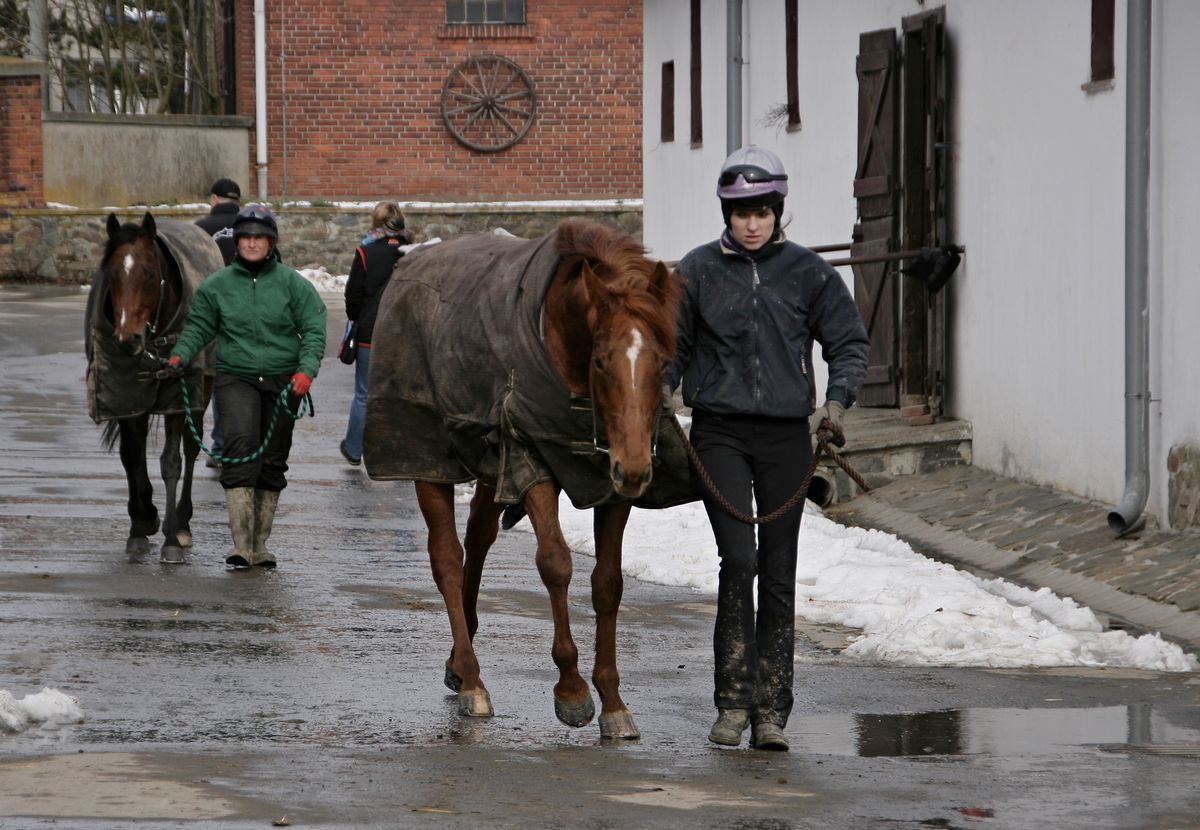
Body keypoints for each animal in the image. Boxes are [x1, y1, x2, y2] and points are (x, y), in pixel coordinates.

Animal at [87, 212, 225, 563]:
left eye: (150, 273)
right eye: (112, 273)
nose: (128, 338)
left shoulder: (178, 395)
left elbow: (171, 462)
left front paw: (171, 540)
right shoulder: (126, 396)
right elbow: (131, 455)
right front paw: (141, 523)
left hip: (202, 389)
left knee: (191, 448)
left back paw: (183, 524)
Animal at [362, 218, 696, 738]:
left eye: (661, 360)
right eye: (601, 360)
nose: (637, 468)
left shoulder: (609, 483)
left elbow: (608, 583)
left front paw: (613, 700)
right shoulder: (529, 459)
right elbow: (555, 563)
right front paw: (572, 690)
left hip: (487, 464)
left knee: (477, 538)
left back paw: (459, 664)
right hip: (427, 458)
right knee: (447, 559)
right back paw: (473, 681)